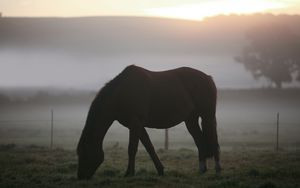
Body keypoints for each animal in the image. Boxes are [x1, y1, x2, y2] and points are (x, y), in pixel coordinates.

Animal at [75, 64, 220, 179]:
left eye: (84, 153)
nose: (81, 176)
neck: (121, 93)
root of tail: (208, 78)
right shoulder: (137, 126)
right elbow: (149, 147)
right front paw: (160, 170)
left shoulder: (135, 123)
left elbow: (132, 149)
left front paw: (129, 174)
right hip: (190, 120)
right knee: (200, 141)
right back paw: (201, 170)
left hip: (207, 117)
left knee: (214, 141)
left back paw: (217, 171)